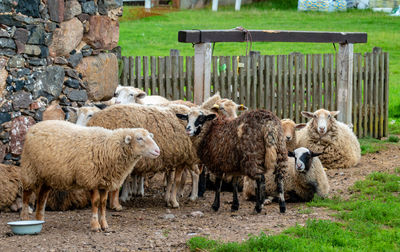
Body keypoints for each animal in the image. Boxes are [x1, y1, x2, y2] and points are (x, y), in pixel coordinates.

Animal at [19, 121, 159, 231]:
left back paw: (40, 219)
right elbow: (96, 202)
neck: (108, 147)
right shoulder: (91, 179)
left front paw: (104, 225)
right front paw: (95, 225)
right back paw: (25, 219)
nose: (158, 151)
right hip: (30, 169)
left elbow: (103, 203)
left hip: (48, 176)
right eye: (139, 138)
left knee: (42, 197)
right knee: (26, 195)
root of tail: (35, 126)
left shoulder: (104, 182)